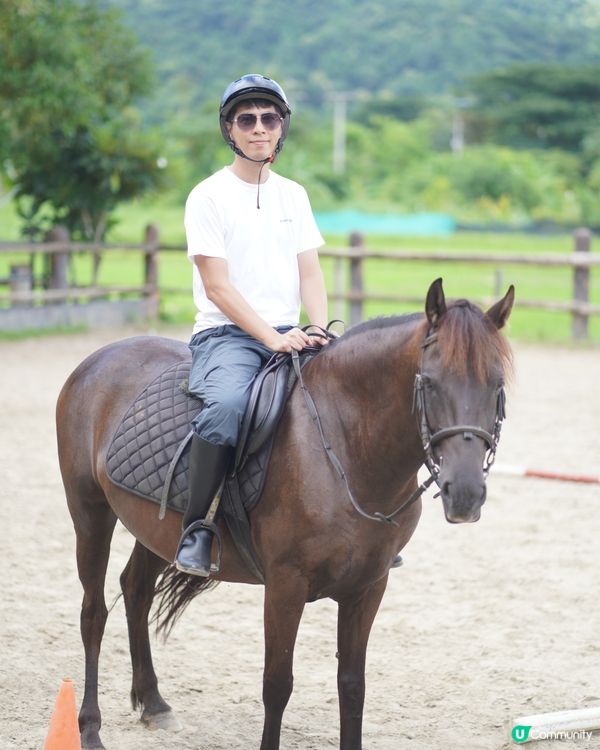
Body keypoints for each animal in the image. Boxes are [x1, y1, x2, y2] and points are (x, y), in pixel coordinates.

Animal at [56, 278, 514, 750]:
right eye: (431, 383)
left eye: (497, 386)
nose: (465, 494)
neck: (346, 447)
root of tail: (100, 358)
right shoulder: (285, 585)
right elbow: (277, 684)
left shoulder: (369, 586)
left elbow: (352, 685)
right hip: (90, 513)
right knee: (93, 614)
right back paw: (89, 728)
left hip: (157, 528)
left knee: (136, 591)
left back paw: (154, 704)